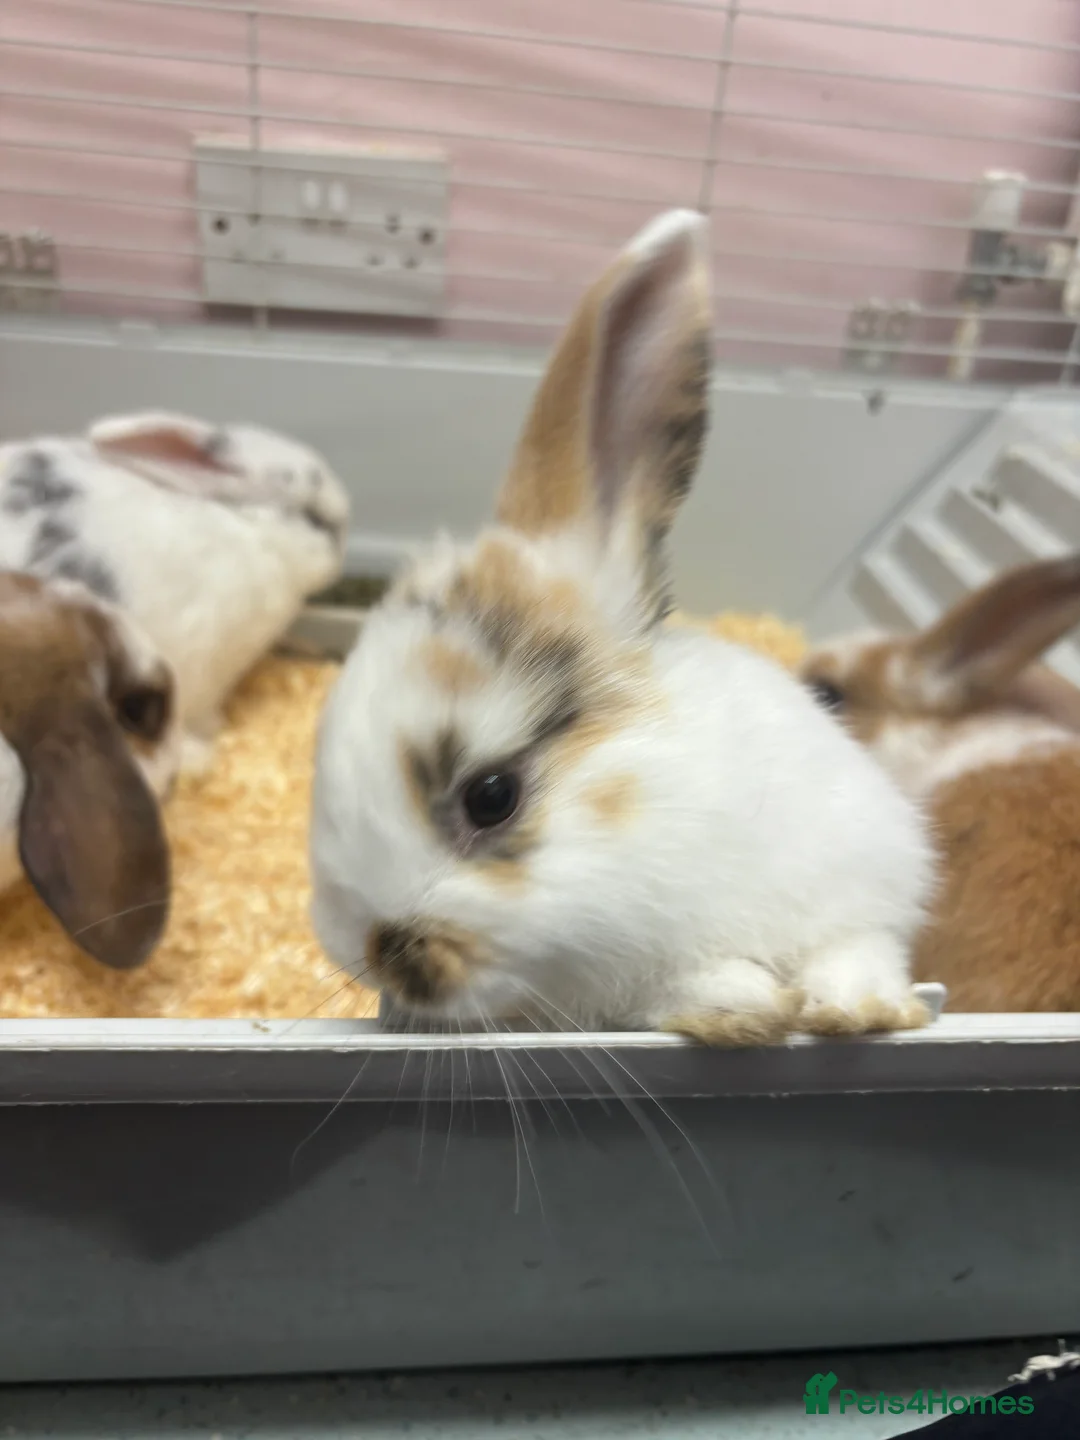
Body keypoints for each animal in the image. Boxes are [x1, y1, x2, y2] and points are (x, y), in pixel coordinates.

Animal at [309, 209, 935, 1045]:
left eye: (491, 796)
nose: (367, 949)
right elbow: (676, 990)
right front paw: (744, 1008)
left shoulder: (862, 877)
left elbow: (855, 948)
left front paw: (856, 1013)